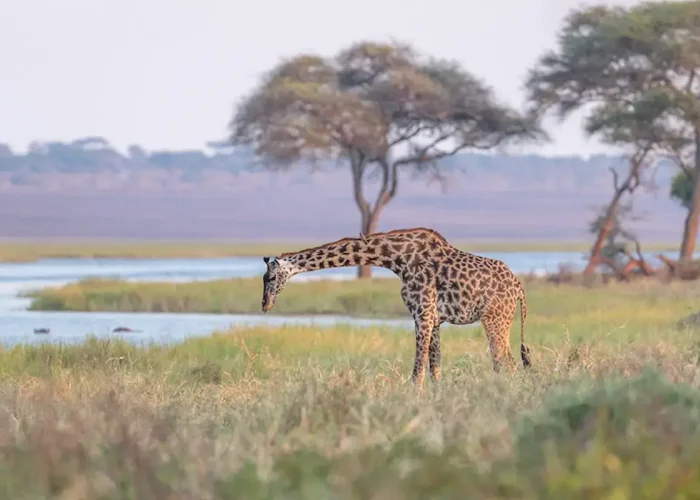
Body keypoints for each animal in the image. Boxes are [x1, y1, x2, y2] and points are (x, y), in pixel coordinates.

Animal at [261, 227, 531, 385]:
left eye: (270, 278)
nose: (265, 305)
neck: (396, 259)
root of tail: (519, 287)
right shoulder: (434, 319)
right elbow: (434, 370)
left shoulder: (422, 313)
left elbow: (417, 372)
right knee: (505, 362)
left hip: (495, 319)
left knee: (505, 362)